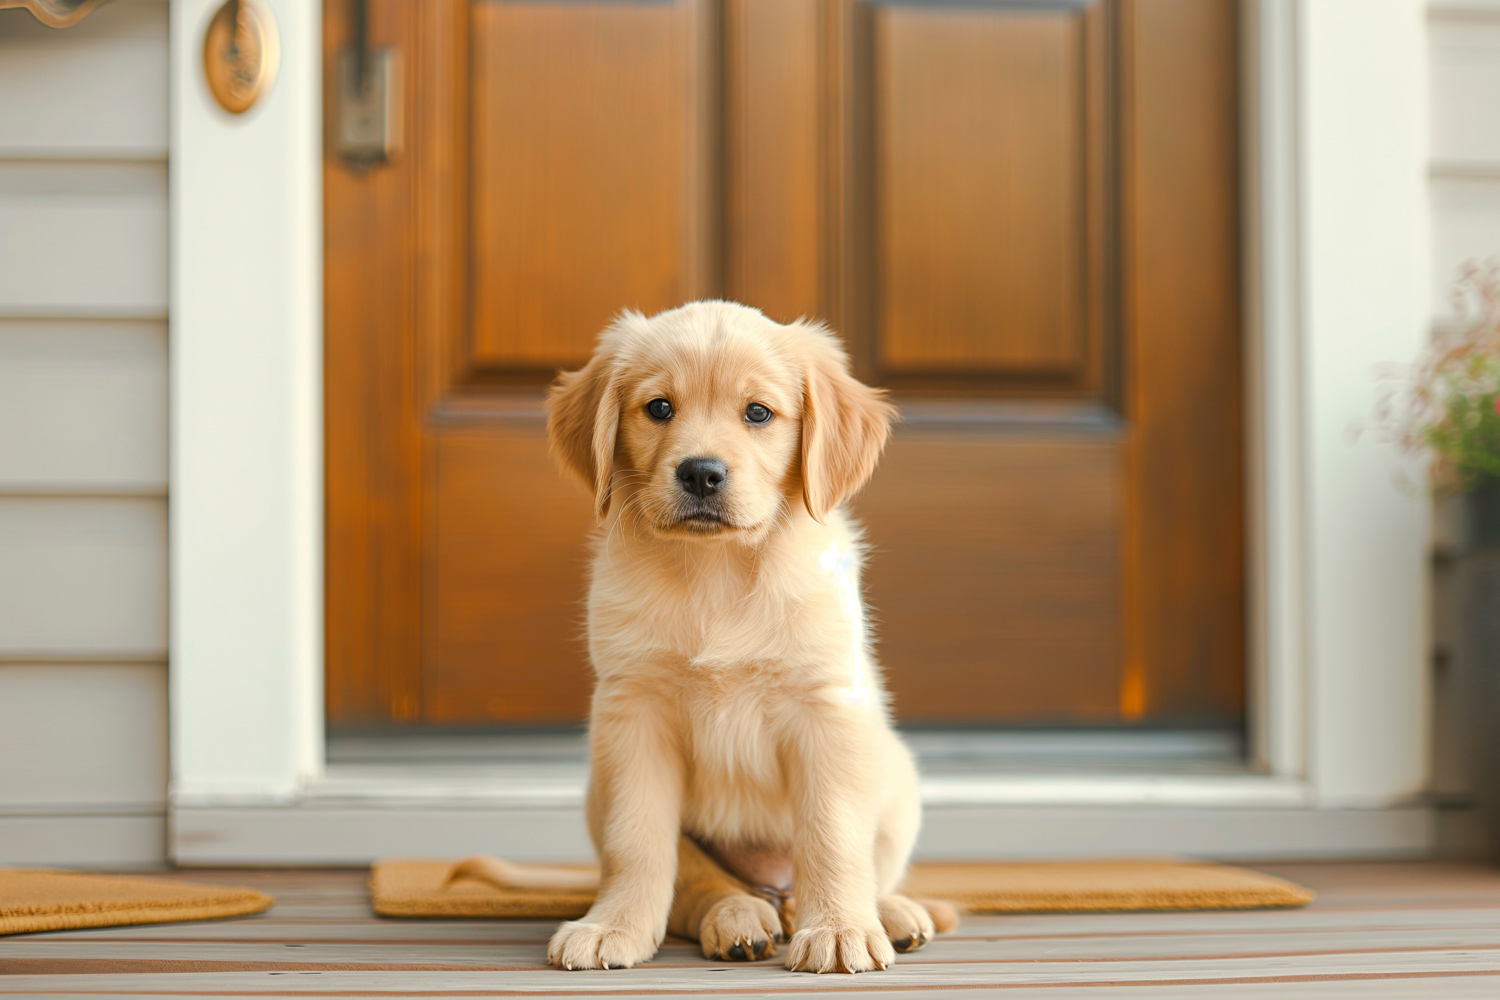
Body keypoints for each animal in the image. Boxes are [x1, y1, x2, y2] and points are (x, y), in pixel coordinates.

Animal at [543, 302, 948, 971]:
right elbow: (639, 840)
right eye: (659, 408)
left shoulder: (826, 709)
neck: (720, 571)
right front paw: (614, 926)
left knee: (858, 871)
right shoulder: (634, 713)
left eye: (758, 413)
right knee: (703, 887)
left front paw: (839, 929)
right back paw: (737, 920)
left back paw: (888, 914)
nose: (701, 474)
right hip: (601, 795)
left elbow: (832, 833)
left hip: (895, 777)